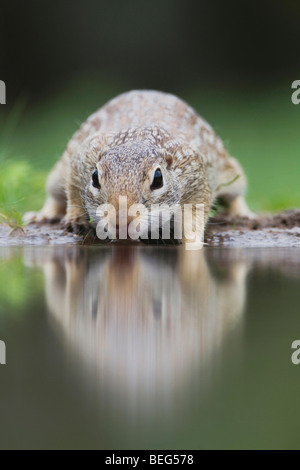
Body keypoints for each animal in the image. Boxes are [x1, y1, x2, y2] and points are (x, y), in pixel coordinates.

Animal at [25, 90, 251, 244]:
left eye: (158, 179)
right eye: (95, 177)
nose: (121, 221)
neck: (138, 139)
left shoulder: (195, 176)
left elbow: (195, 214)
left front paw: (192, 241)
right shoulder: (81, 156)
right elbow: (73, 193)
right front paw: (75, 219)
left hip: (230, 173)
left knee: (235, 195)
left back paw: (243, 214)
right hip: (57, 175)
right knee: (55, 196)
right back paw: (43, 215)